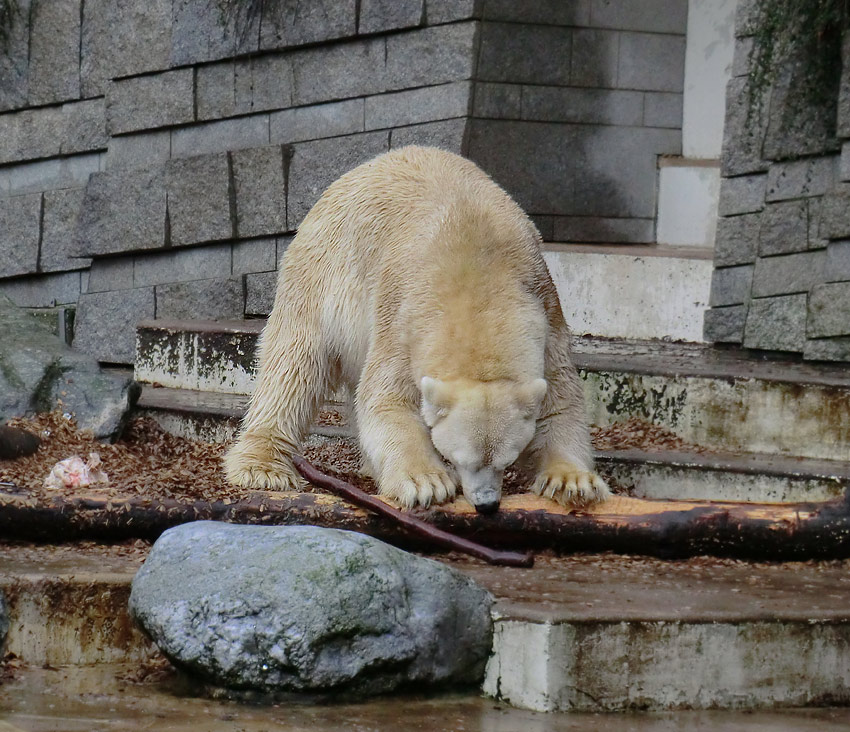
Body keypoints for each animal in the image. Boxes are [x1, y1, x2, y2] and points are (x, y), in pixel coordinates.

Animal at [224, 147, 608, 516]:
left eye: (507, 460)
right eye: (458, 457)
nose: (486, 504)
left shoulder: (544, 308)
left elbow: (561, 402)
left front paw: (573, 482)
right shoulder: (402, 315)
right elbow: (387, 400)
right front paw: (426, 481)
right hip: (322, 271)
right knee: (294, 363)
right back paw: (263, 467)